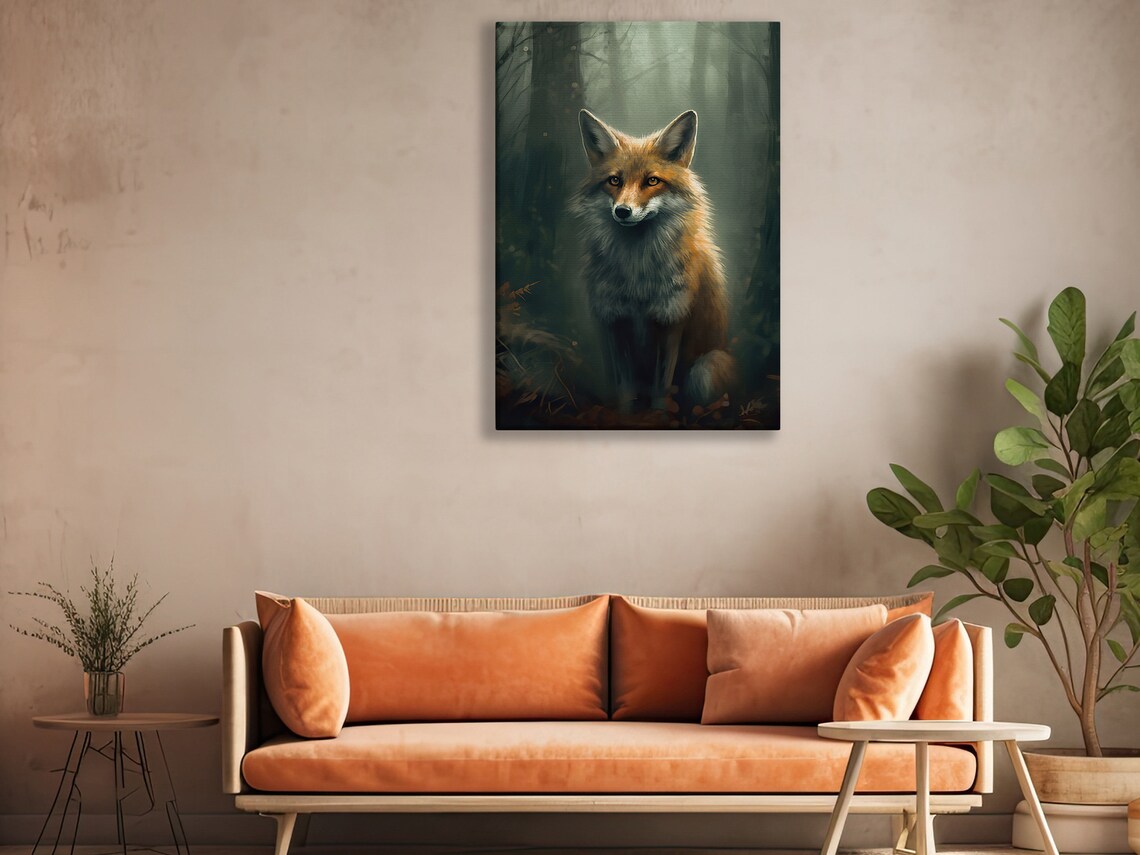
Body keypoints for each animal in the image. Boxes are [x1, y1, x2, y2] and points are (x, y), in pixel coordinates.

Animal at [570, 108, 734, 414]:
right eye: (614, 181)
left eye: (652, 181)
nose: (623, 211)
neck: (638, 277)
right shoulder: (615, 320)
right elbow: (625, 389)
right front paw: (626, 415)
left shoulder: (671, 319)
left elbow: (661, 387)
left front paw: (658, 416)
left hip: (706, 368)